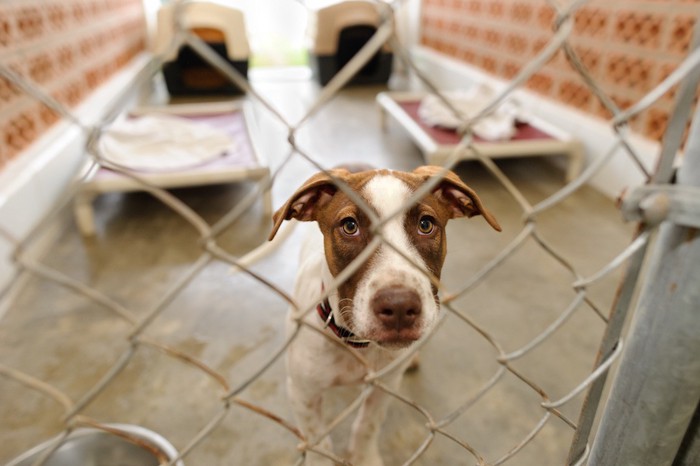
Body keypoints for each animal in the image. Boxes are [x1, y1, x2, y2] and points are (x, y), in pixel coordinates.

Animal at [266, 166, 500, 464]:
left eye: (426, 224)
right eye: (350, 226)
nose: (399, 307)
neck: (356, 345)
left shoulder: (384, 386)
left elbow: (367, 425)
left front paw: (364, 457)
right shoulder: (302, 392)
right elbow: (319, 442)